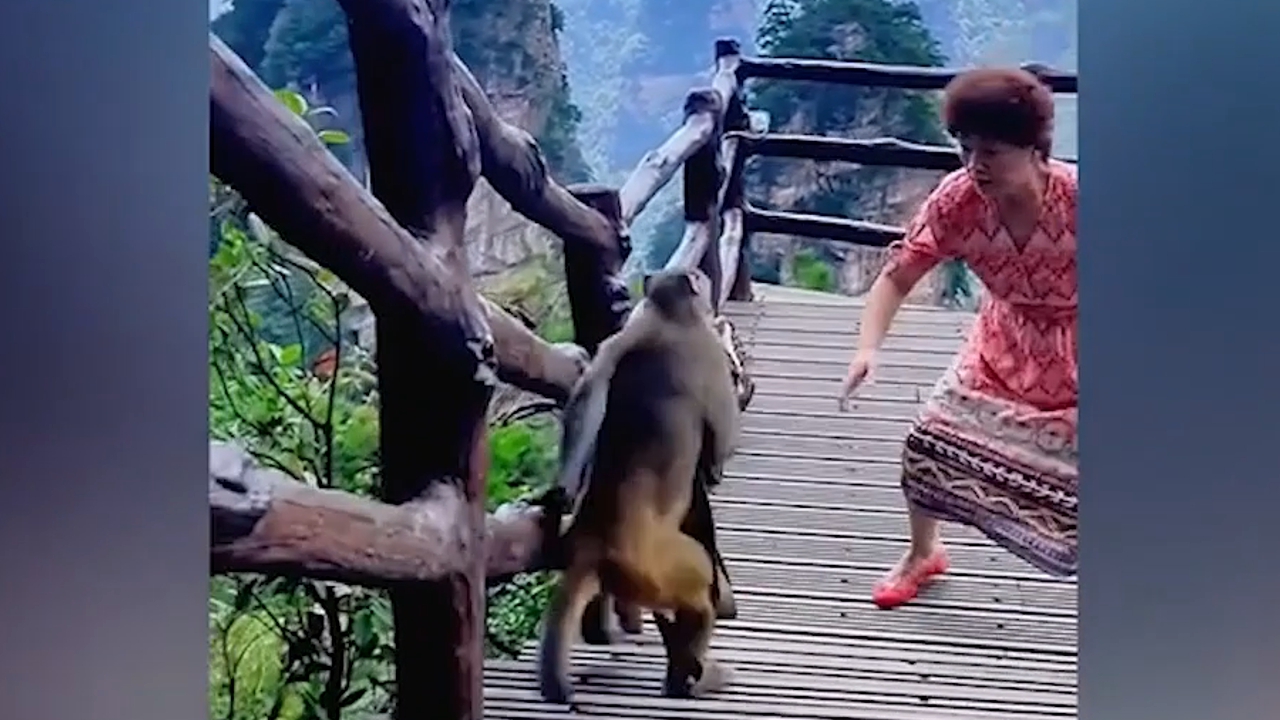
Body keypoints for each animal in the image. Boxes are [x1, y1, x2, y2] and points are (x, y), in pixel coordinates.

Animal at [537, 263, 742, 702]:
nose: (706, 285)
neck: (669, 315)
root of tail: (596, 539)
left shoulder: (621, 336)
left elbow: (587, 394)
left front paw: (562, 490)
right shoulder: (710, 354)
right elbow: (720, 440)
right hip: (662, 567)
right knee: (700, 591)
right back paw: (692, 676)